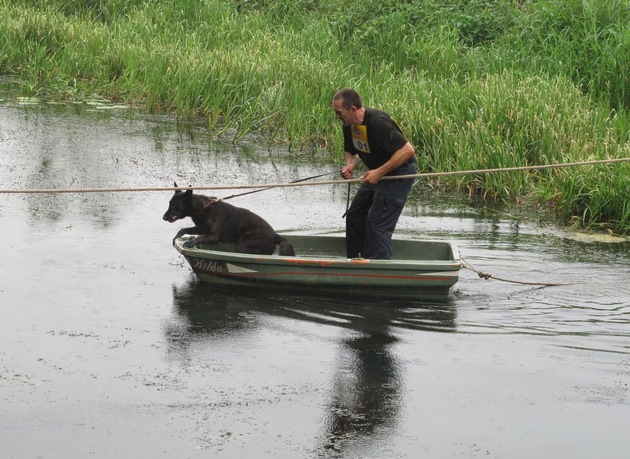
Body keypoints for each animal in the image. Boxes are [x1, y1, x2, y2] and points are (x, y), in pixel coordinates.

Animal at [160, 182, 294, 255]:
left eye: (175, 206)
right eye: (170, 203)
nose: (163, 217)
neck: (203, 208)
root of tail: (275, 235)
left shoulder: (212, 236)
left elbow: (200, 237)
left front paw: (191, 242)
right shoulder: (201, 229)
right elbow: (183, 230)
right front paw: (177, 237)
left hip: (242, 244)